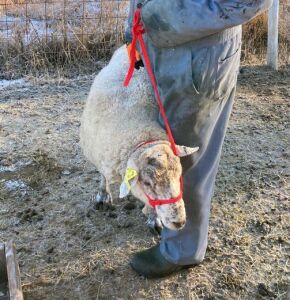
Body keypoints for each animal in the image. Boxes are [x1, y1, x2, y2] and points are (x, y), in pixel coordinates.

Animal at [80, 45, 199, 231]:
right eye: (148, 183)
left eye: (179, 175)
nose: (179, 222)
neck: (142, 132)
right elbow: (103, 176)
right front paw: (103, 195)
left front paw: (153, 218)